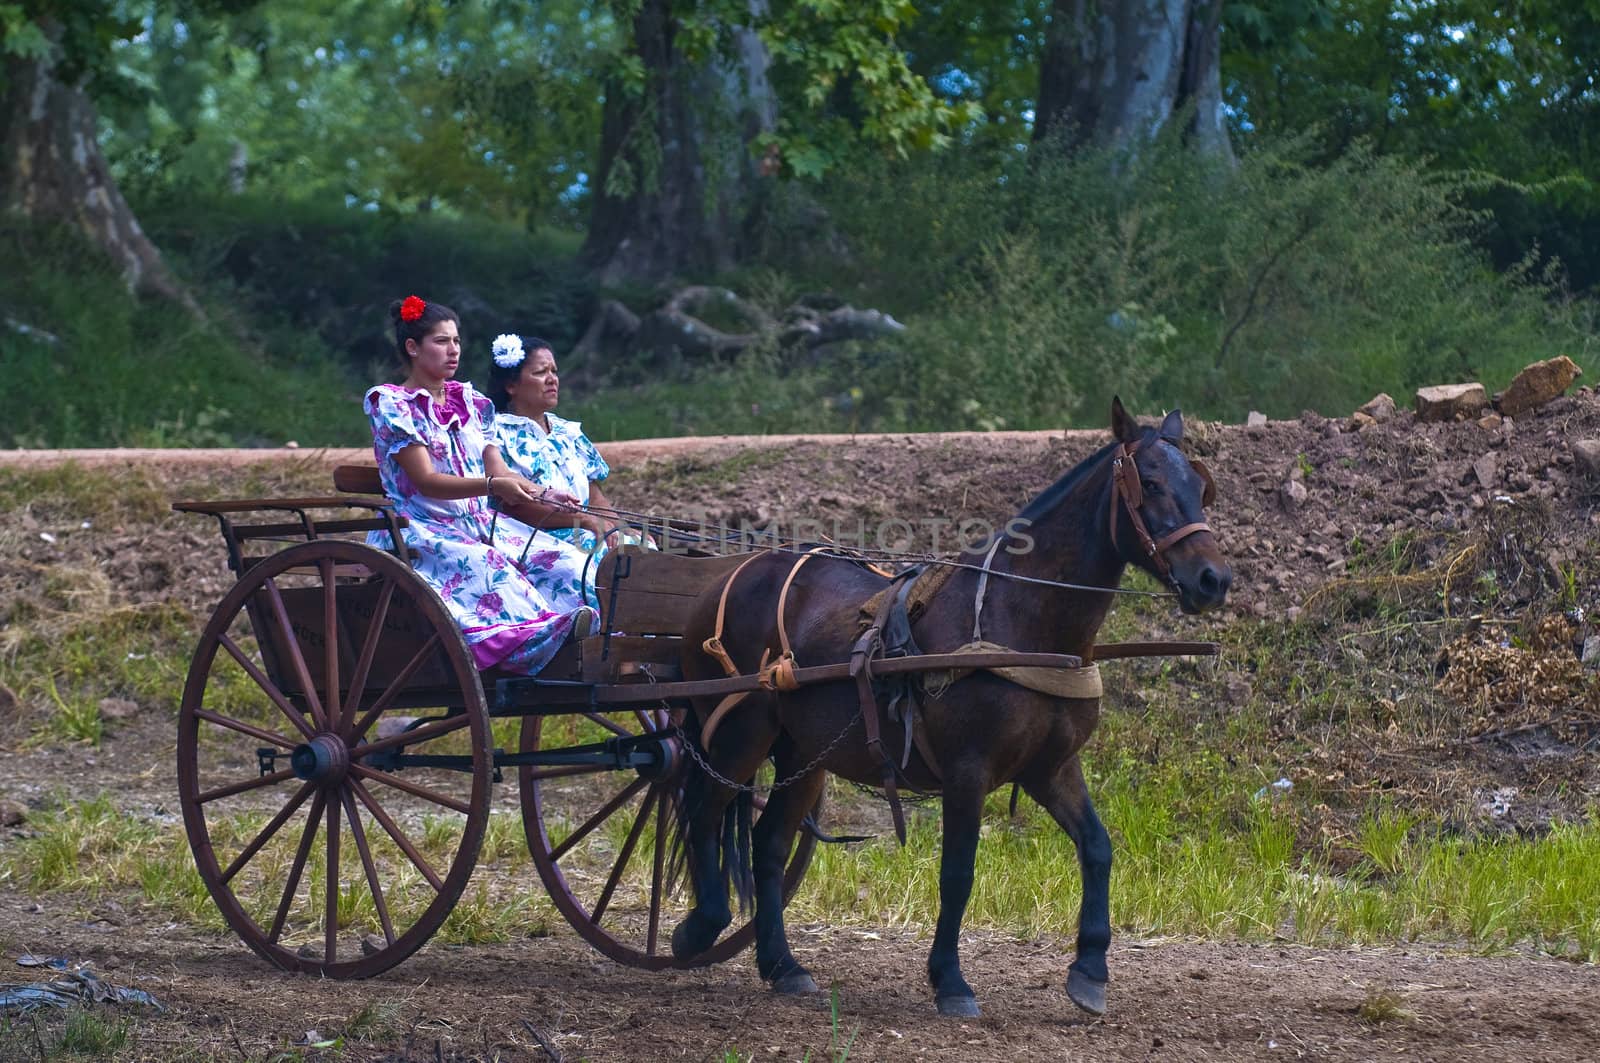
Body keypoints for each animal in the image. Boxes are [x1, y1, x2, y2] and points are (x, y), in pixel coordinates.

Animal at [668, 403, 1228, 1018]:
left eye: (1200, 486)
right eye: (1149, 483)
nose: (1214, 579)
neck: (1020, 619)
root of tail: (734, 571)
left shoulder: (1051, 768)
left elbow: (1097, 848)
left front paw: (1090, 970)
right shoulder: (968, 771)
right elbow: (958, 871)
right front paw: (951, 980)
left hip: (804, 753)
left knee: (768, 845)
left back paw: (782, 965)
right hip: (738, 733)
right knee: (702, 812)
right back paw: (699, 928)